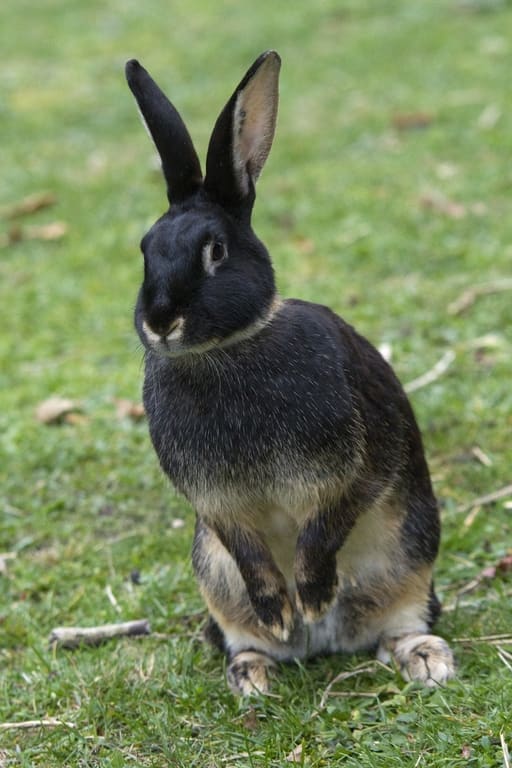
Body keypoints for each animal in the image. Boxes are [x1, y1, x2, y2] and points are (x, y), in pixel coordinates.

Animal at [125, 51, 455, 695]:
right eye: (145, 249)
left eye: (216, 251)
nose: (160, 321)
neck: (226, 349)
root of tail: (327, 645)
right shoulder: (216, 508)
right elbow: (248, 550)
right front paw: (280, 610)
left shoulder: (358, 470)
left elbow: (328, 524)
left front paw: (312, 595)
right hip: (214, 577)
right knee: (242, 634)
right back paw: (256, 670)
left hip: (408, 559)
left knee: (401, 623)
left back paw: (423, 659)